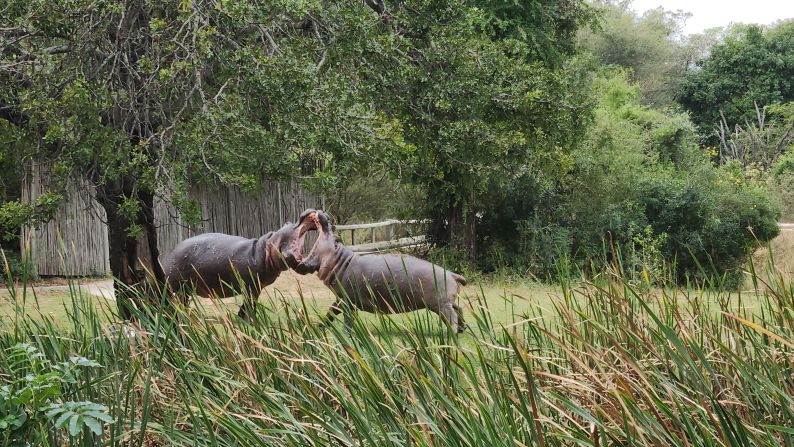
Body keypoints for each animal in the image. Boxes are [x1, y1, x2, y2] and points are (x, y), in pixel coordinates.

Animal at [159, 209, 320, 318]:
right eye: (288, 224)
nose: (305, 212)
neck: (265, 250)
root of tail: (168, 255)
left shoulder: (256, 288)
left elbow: (250, 305)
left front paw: (245, 318)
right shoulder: (250, 287)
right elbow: (248, 305)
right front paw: (248, 319)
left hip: (185, 289)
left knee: (183, 302)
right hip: (176, 284)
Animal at [298, 212, 470, 334]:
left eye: (334, 238)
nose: (324, 214)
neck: (340, 260)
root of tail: (452, 274)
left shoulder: (348, 301)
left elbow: (347, 318)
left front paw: (346, 334)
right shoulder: (340, 299)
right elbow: (330, 312)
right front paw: (320, 326)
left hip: (440, 304)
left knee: (452, 315)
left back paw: (452, 333)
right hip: (446, 300)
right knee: (459, 309)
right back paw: (462, 329)